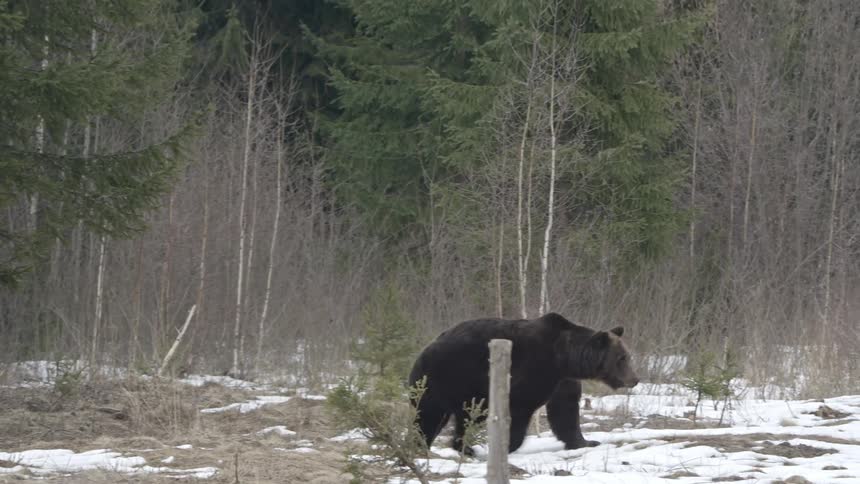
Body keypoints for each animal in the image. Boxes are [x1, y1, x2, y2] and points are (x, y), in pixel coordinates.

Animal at [407, 312, 639, 454]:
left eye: (627, 356)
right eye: (621, 358)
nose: (635, 379)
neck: (563, 359)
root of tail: (424, 350)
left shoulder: (563, 380)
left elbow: (565, 411)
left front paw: (586, 441)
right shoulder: (534, 368)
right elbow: (519, 408)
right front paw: (507, 445)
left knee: (459, 419)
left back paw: (463, 448)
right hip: (445, 378)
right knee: (430, 415)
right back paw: (423, 445)